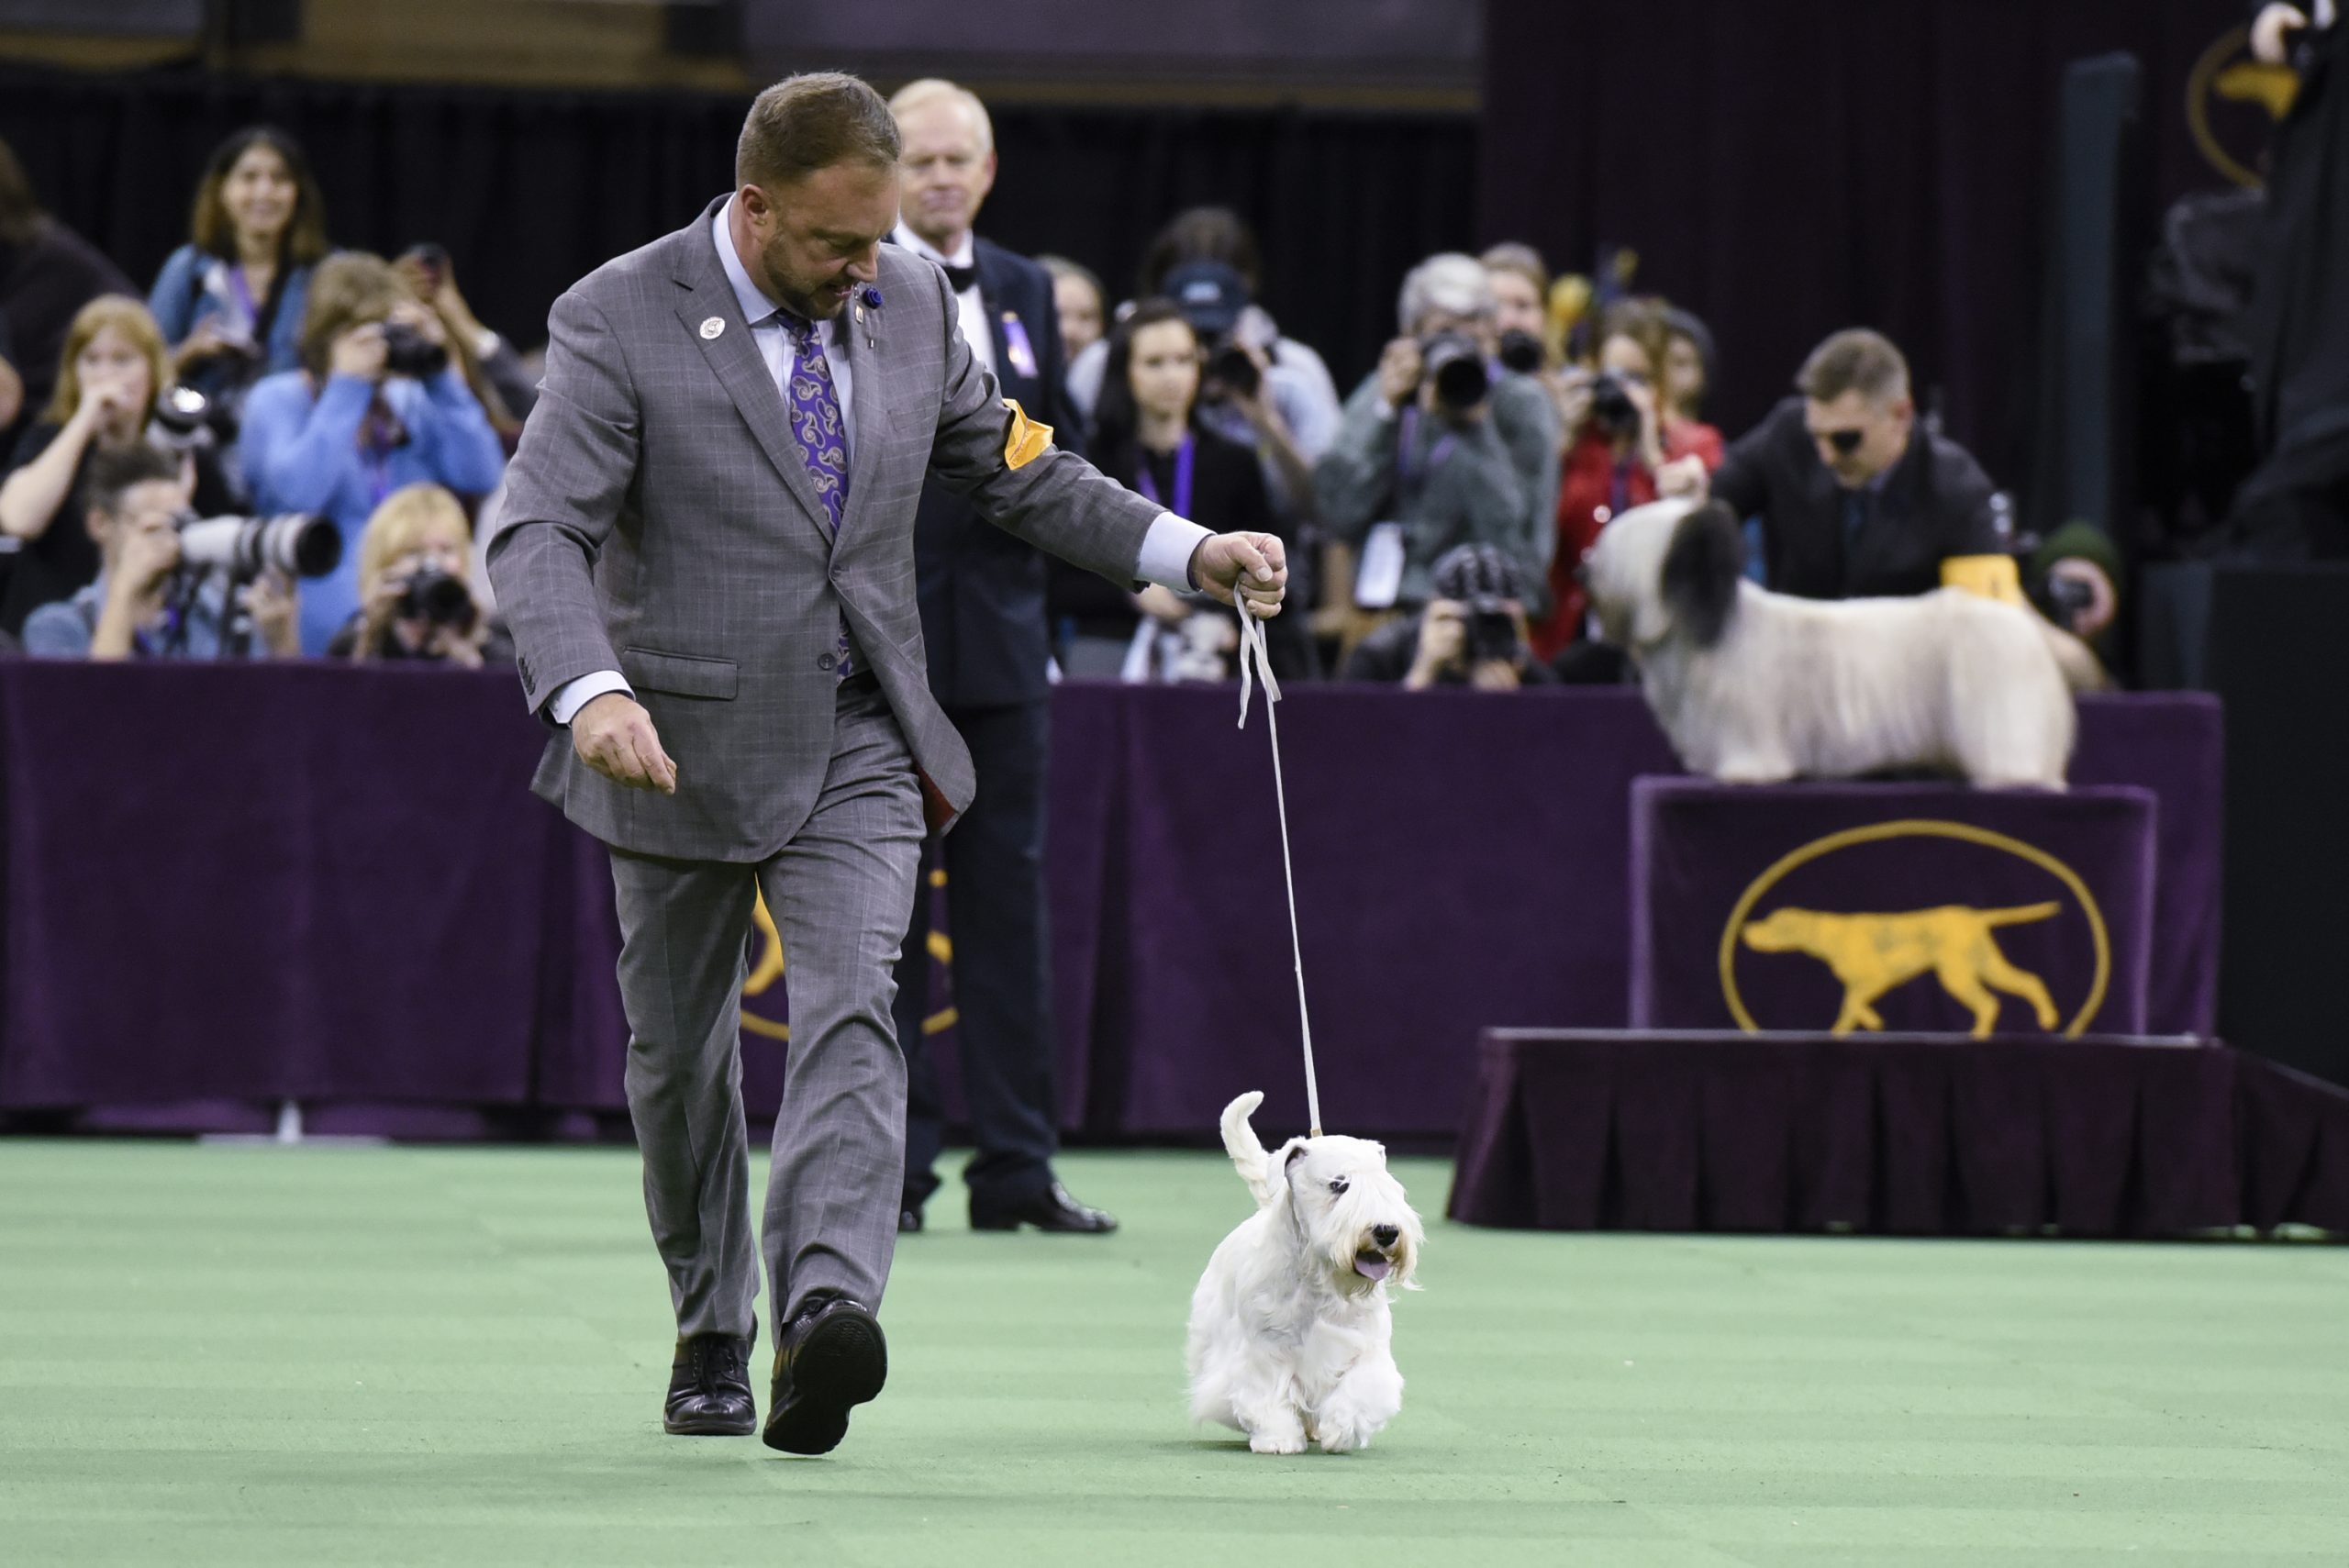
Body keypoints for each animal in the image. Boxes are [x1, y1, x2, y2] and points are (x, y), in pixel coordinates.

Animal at [1184, 1098, 1419, 1455]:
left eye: (1390, 1188)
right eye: (1339, 1184)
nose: (1387, 1231)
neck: (1319, 1278)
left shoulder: (1365, 1348)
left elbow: (1359, 1390)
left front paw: (1341, 1429)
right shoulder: (1264, 1349)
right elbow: (1266, 1395)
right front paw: (1278, 1438)